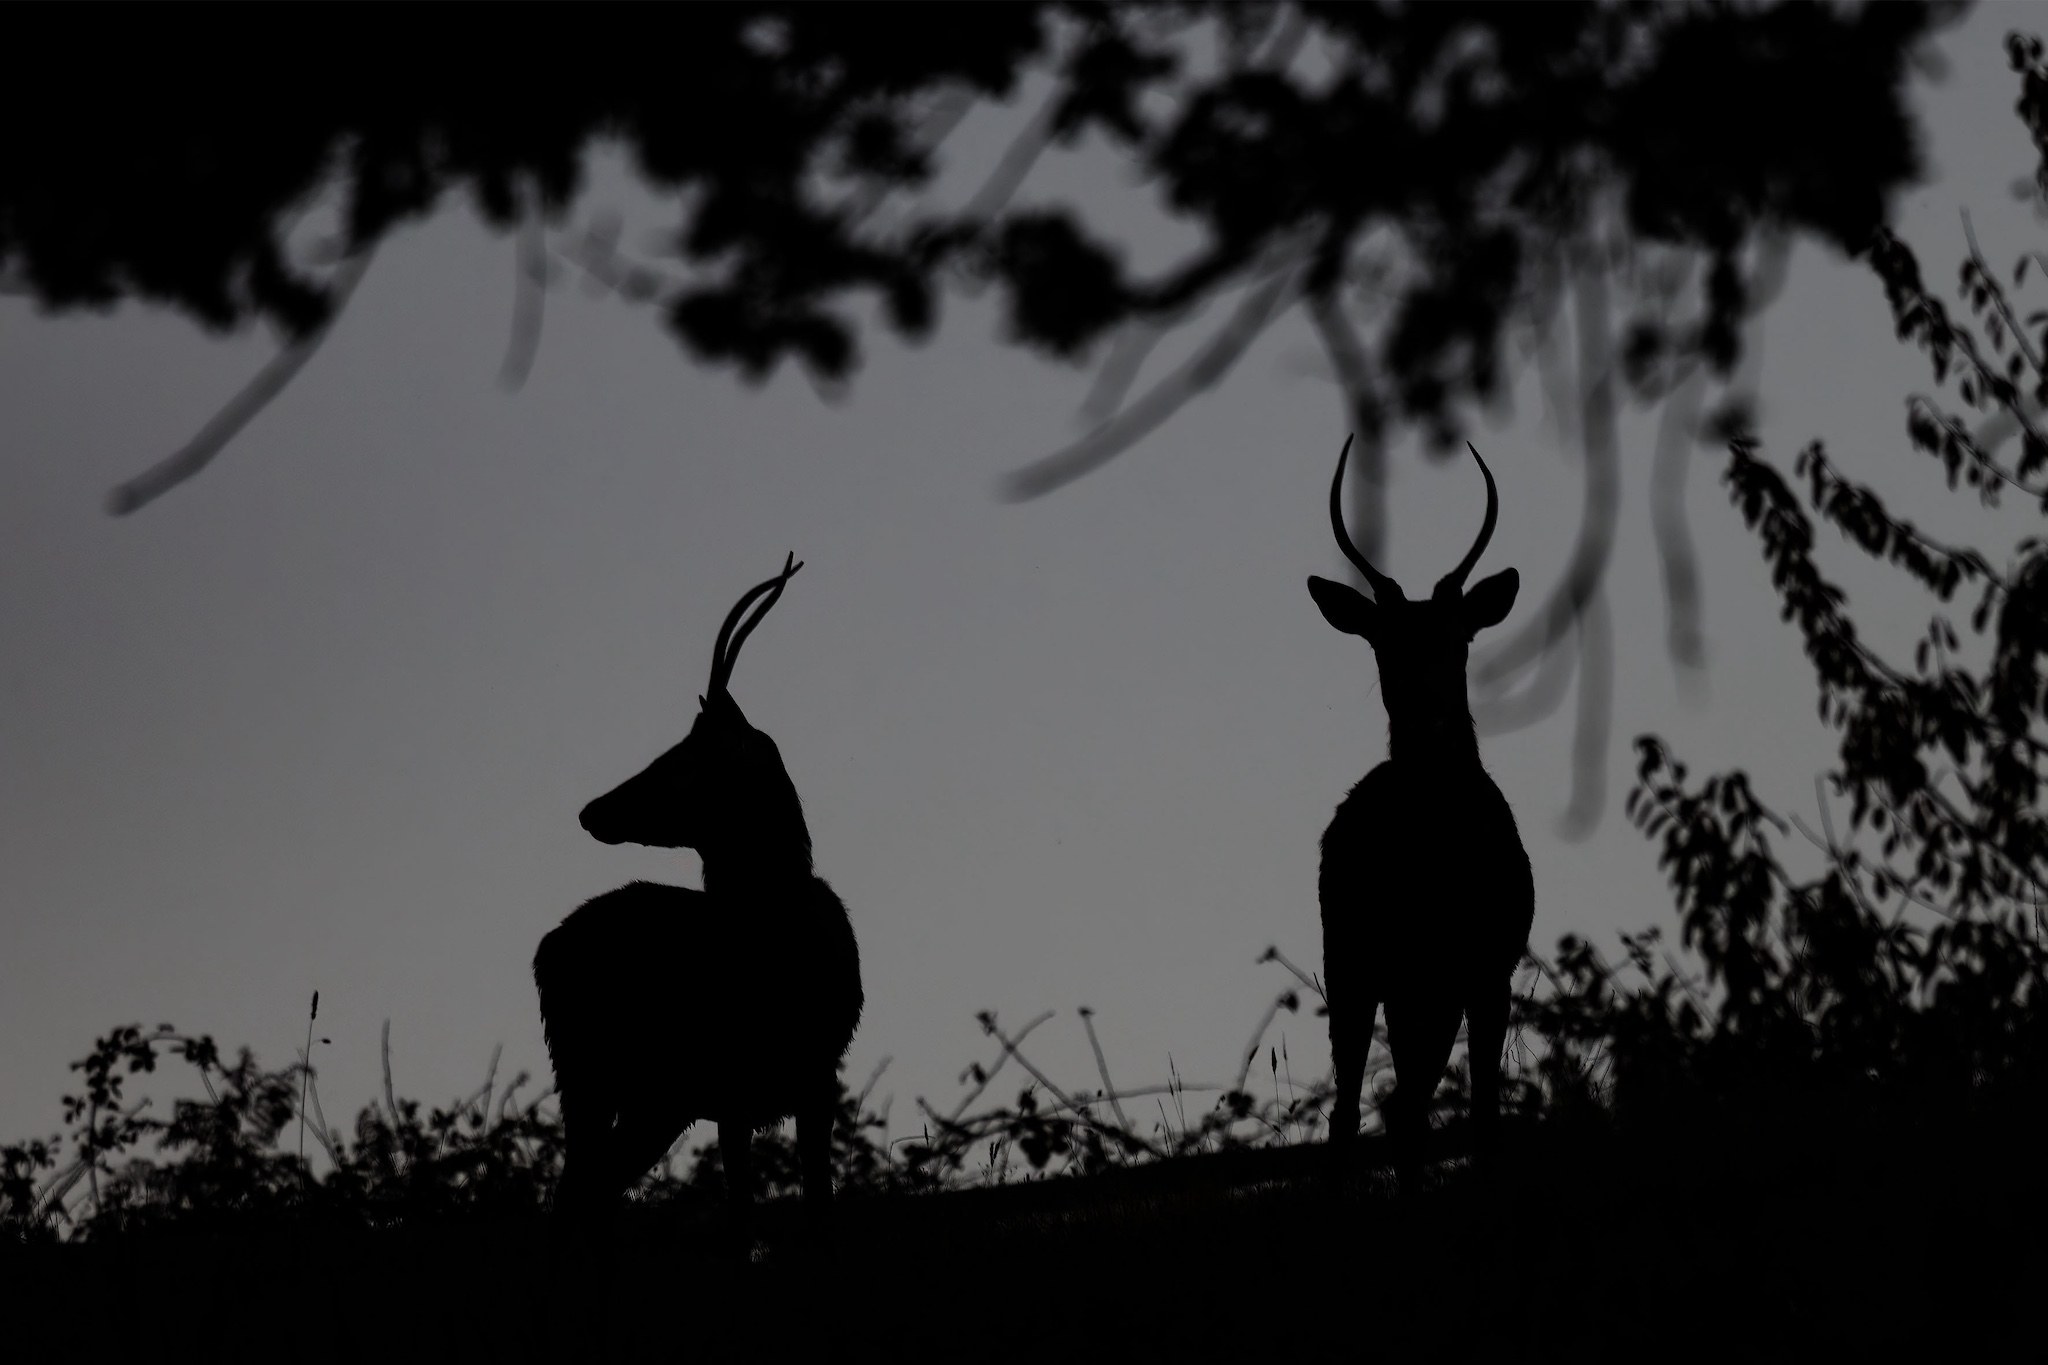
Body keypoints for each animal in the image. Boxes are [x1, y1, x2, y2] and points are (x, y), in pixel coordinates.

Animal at [534, 553, 863, 1252]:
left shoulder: (810, 1080)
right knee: (582, 1194)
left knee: (589, 1193)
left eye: (685, 755)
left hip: (626, 1094)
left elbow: (812, 1206)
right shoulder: (736, 1088)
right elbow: (744, 1214)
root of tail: (548, 948)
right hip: (614, 1084)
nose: (592, 810)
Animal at [1308, 436, 1534, 1187]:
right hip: (1351, 958)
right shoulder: (1403, 967)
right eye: (1384, 642)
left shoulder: (1489, 967)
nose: (1427, 711)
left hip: (1413, 986)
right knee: (1357, 1108)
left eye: (1458, 637)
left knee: (1401, 1105)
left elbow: (1483, 1111)